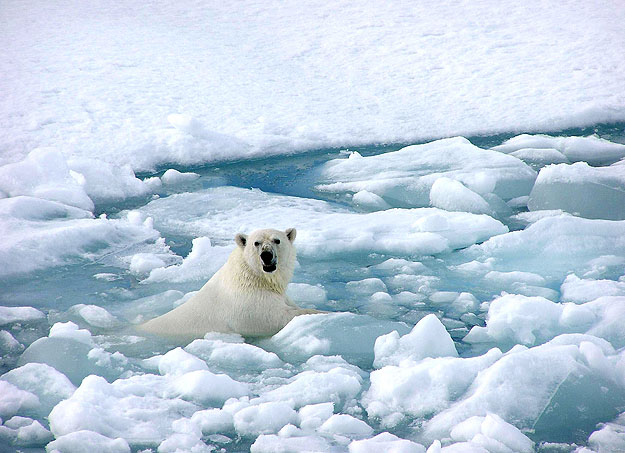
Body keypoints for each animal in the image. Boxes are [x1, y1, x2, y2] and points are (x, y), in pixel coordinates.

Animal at [139, 228, 320, 338]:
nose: (266, 255)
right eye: (256, 243)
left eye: (277, 240)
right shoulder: (248, 305)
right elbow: (277, 317)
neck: (254, 278)